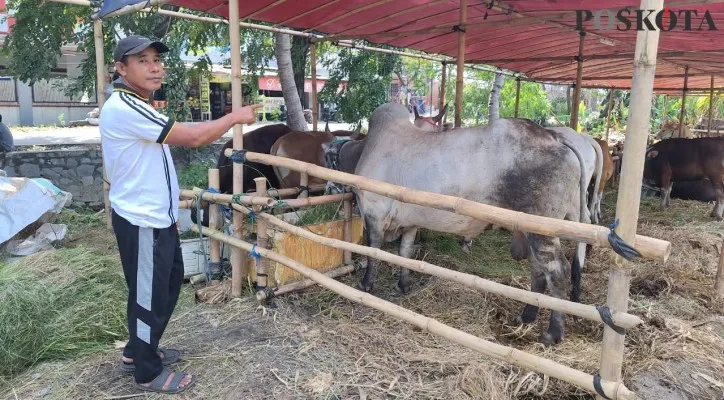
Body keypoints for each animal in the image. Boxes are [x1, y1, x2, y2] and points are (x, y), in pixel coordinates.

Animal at [348, 102, 592, 344]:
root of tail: (552, 136)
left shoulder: (373, 210)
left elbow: (373, 250)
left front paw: (366, 284)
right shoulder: (410, 222)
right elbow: (404, 253)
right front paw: (403, 285)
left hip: (542, 231)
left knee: (558, 271)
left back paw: (553, 333)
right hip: (534, 228)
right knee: (538, 269)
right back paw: (526, 316)